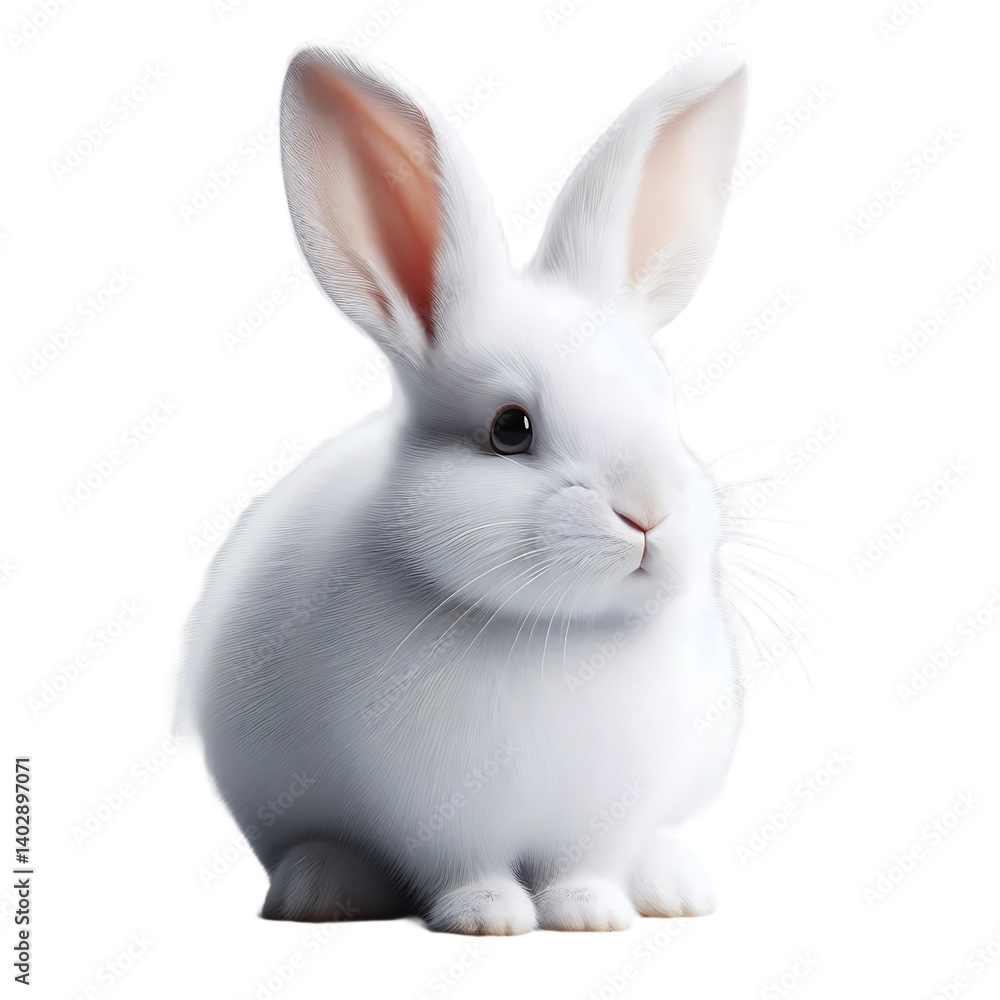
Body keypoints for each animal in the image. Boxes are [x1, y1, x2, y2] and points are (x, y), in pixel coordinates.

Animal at [178, 40, 750, 934]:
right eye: (510, 429)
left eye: (665, 399)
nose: (648, 513)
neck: (560, 635)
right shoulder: (431, 813)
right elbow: (463, 866)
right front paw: (490, 918)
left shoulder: (609, 813)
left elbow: (587, 865)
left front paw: (592, 915)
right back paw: (322, 890)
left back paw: (672, 886)